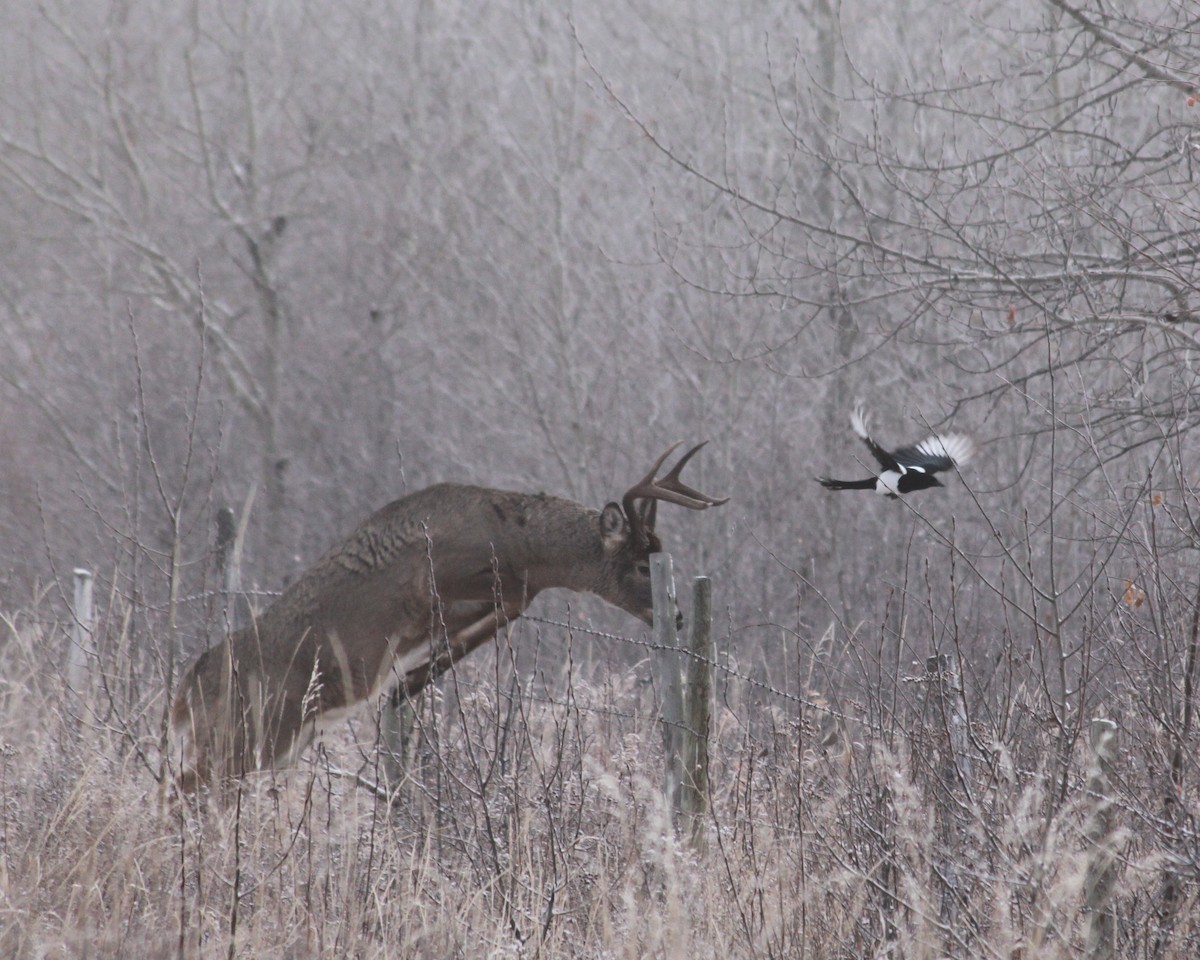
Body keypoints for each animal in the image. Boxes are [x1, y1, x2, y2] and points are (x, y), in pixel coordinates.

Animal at [172, 441, 724, 787]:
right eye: (639, 564)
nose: (677, 617)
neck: (518, 540)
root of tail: (185, 689)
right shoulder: (439, 577)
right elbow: (513, 599)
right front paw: (412, 677)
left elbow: (505, 612)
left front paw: (410, 679)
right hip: (249, 731)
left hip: (270, 741)